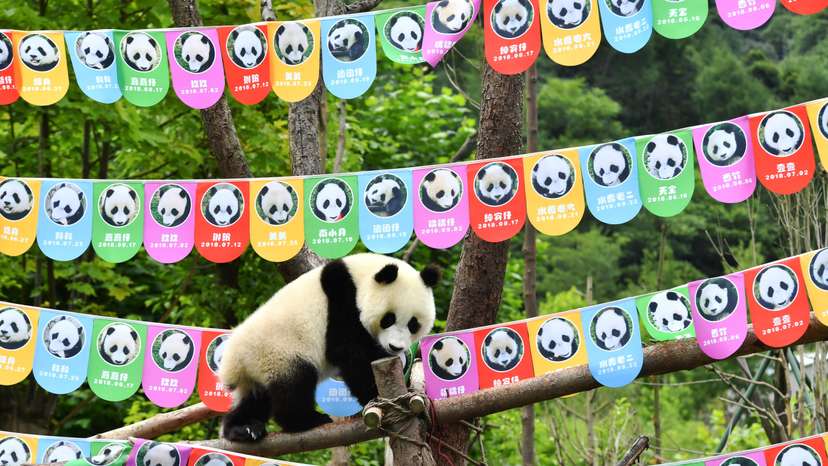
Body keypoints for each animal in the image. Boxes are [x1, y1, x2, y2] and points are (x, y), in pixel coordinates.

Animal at [219, 253, 439, 439]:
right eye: (388, 319)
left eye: (413, 324)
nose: (395, 347)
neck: (360, 278)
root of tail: (234, 361)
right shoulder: (341, 302)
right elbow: (349, 352)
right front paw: (374, 395)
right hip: (280, 352)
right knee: (295, 384)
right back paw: (305, 420)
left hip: (256, 371)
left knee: (255, 400)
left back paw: (243, 427)